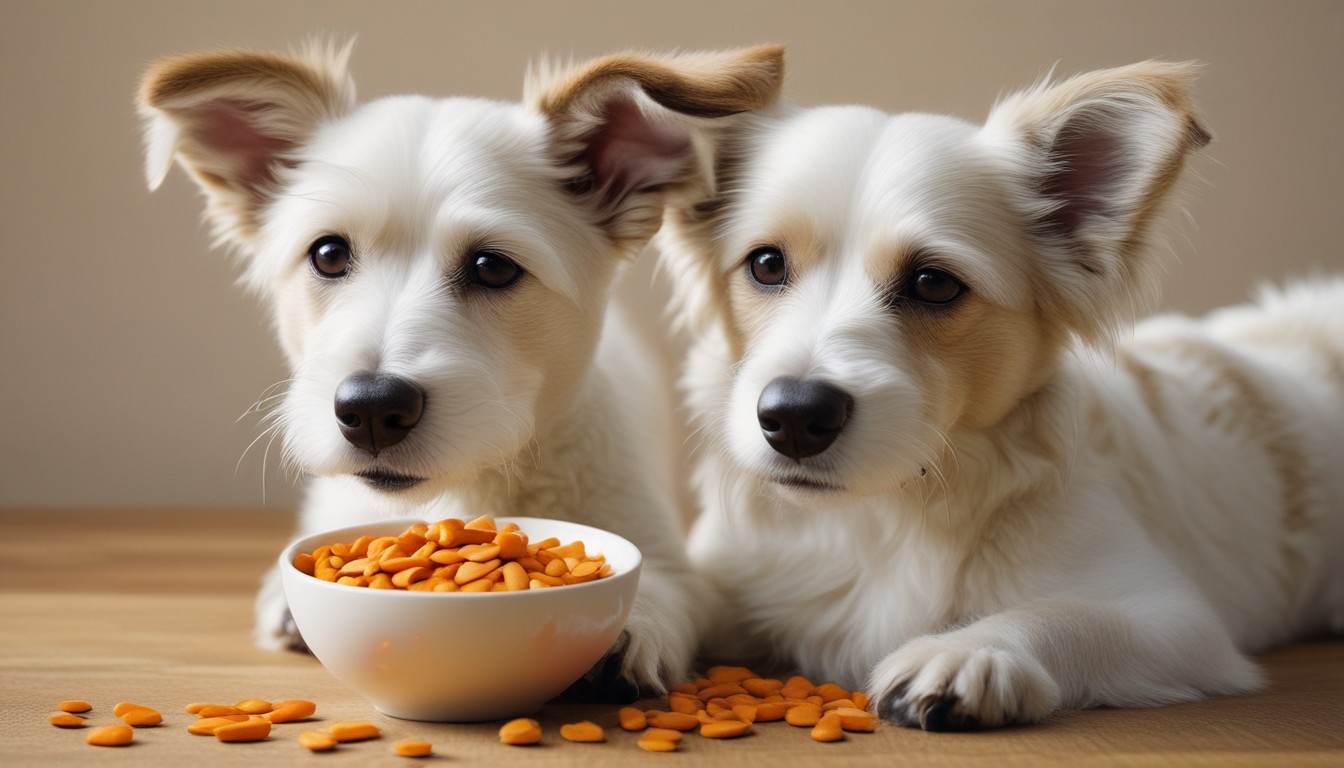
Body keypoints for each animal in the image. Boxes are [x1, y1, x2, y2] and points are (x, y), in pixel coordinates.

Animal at [136, 42, 784, 699]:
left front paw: (628, 626)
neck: (468, 486)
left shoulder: (671, 557)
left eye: (492, 267)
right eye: (329, 254)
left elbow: (669, 590)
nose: (371, 408)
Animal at [658, 63, 1344, 731]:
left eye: (933, 283)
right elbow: (683, 590)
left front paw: (968, 652)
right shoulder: (725, 567)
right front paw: (642, 622)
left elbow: (1065, 618)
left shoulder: (1176, 620)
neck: (883, 515)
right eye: (767, 264)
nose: (795, 416)